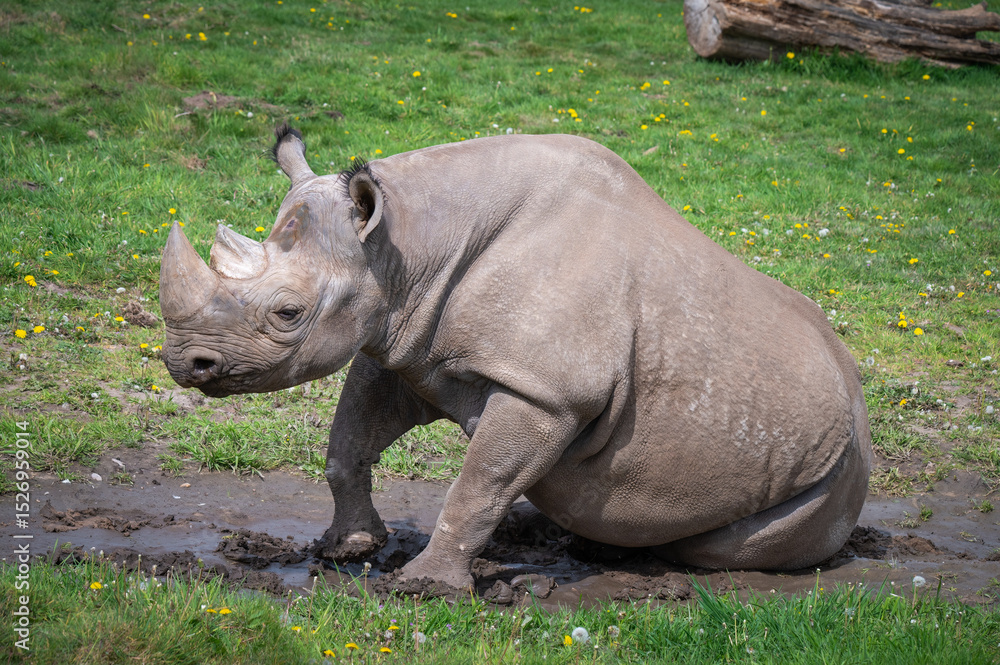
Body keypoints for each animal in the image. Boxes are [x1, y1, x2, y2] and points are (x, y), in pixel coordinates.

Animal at [160, 126, 871, 590]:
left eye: (287, 313)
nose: (185, 364)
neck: (409, 241)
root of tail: (858, 394)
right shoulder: (406, 343)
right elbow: (348, 444)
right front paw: (350, 549)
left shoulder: (548, 390)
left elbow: (481, 481)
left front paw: (423, 588)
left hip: (836, 466)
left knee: (726, 545)